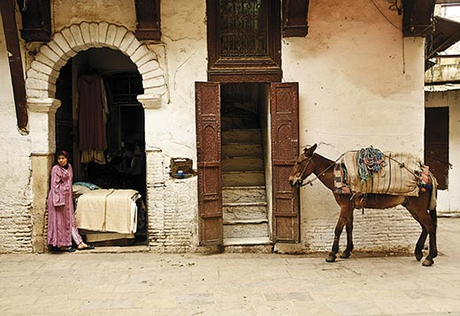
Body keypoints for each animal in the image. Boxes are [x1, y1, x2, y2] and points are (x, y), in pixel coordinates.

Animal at [288, 144, 438, 266]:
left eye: (299, 162)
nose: (291, 181)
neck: (338, 175)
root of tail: (427, 174)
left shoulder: (345, 207)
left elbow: (338, 229)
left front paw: (332, 254)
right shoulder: (349, 207)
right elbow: (349, 228)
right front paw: (346, 251)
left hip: (418, 207)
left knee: (430, 225)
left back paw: (430, 257)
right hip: (411, 206)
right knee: (425, 226)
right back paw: (418, 252)